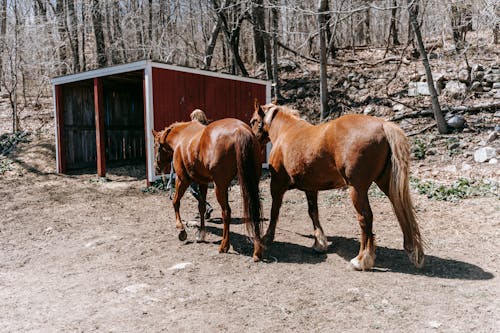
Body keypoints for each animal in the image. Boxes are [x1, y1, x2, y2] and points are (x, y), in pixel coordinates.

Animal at [151, 116, 264, 260]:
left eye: (156, 146)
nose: (156, 167)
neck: (181, 136)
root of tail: (241, 131)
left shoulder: (182, 179)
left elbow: (175, 202)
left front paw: (181, 229)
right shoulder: (202, 182)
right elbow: (202, 207)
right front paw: (201, 234)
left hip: (220, 186)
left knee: (226, 212)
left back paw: (224, 246)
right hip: (251, 182)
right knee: (254, 208)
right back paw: (257, 250)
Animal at [250, 102, 426, 270]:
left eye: (253, 121)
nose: (253, 140)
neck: (287, 132)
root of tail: (383, 124)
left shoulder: (277, 185)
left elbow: (274, 211)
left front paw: (267, 237)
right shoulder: (310, 187)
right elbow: (313, 212)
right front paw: (319, 243)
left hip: (357, 189)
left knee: (366, 218)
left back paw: (361, 260)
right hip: (387, 184)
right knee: (401, 211)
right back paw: (412, 251)